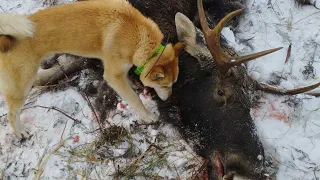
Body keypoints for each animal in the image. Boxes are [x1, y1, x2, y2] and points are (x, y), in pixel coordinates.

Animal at [0, 0, 184, 138]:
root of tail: (6, 38)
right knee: (12, 113)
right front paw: (148, 116)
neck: (138, 36)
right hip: (21, 87)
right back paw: (20, 132)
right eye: (165, 85)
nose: (169, 98)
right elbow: (134, 100)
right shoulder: (113, 75)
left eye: (173, 83)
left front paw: (133, 83)